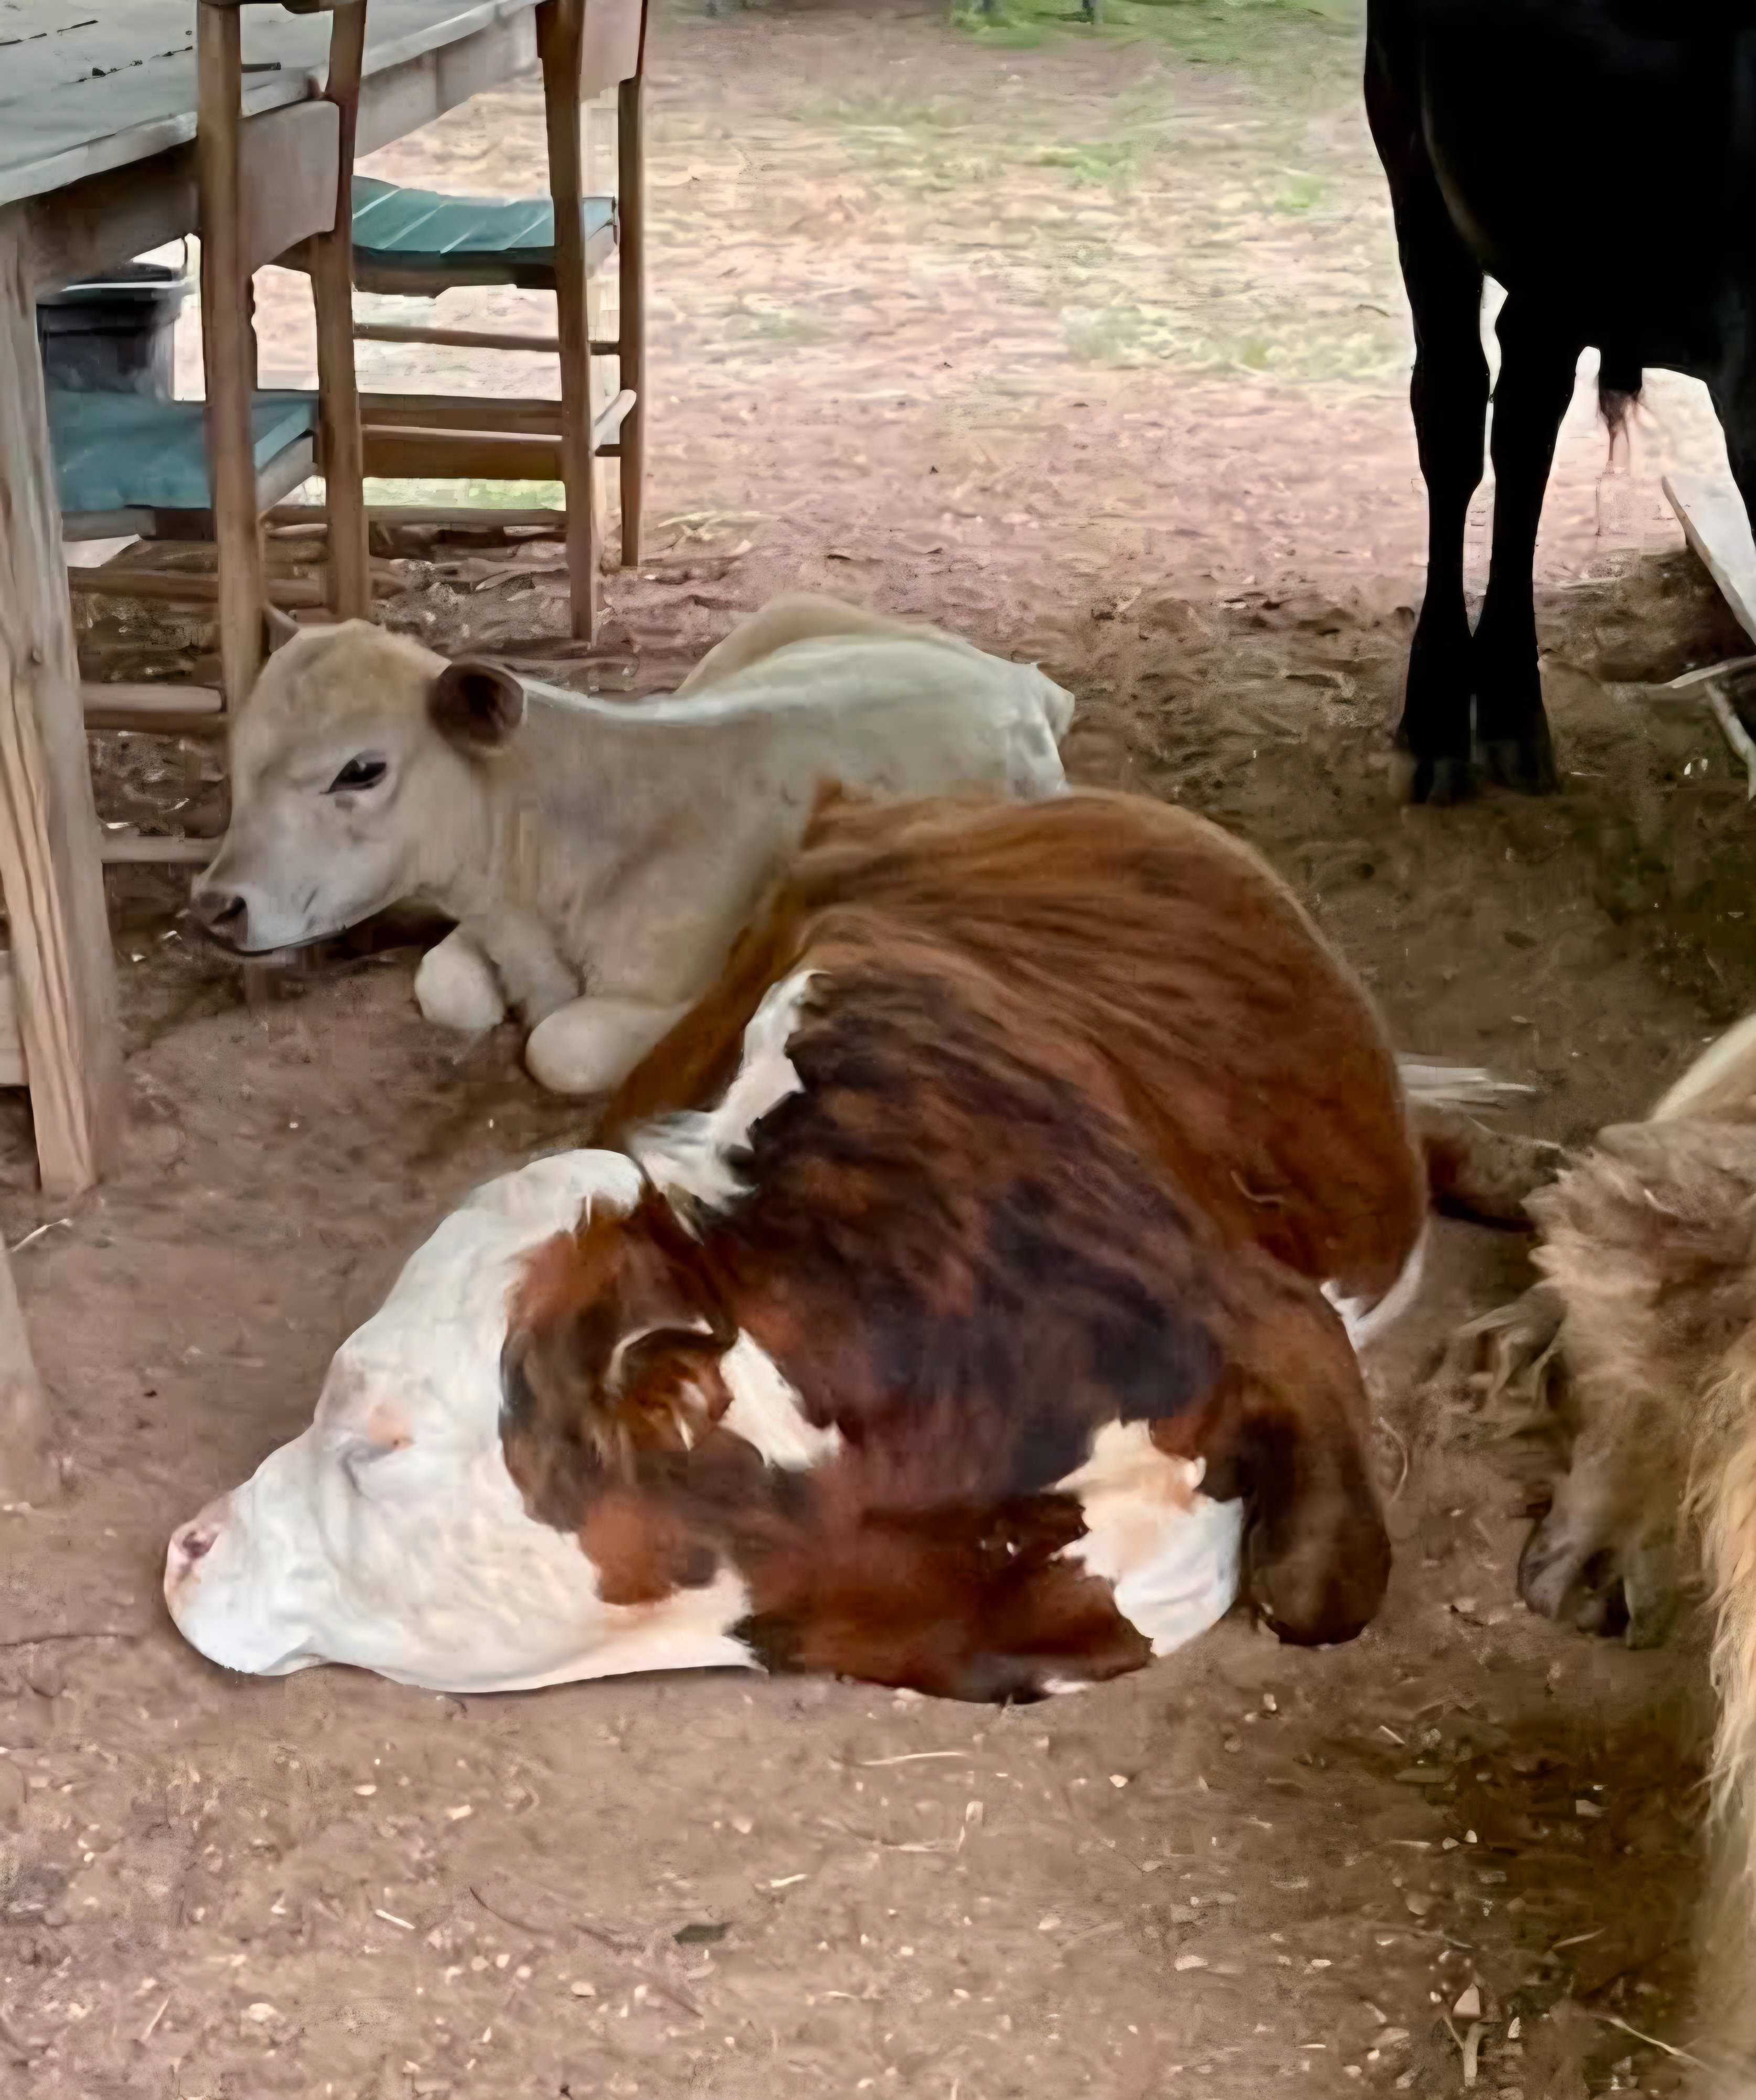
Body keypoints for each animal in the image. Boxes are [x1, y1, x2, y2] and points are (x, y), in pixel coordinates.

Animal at [187, 595, 1074, 1097]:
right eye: (240, 752)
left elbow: (561, 1047)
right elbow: (451, 991)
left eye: (362, 769)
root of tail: (1017, 678)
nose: (216, 907)